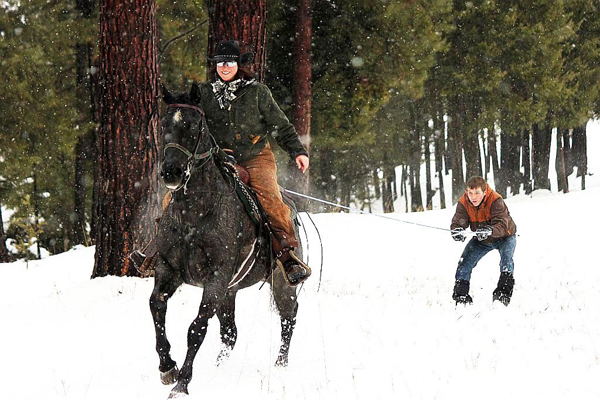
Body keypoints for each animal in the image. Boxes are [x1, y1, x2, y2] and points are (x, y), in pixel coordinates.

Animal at [150, 87, 300, 396]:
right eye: (164, 125)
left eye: (195, 126)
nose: (171, 172)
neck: (194, 216)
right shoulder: (168, 269)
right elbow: (157, 306)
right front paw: (167, 368)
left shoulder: (216, 280)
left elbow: (196, 328)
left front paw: (182, 383)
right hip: (230, 293)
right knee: (230, 333)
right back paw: (219, 369)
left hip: (281, 283)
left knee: (288, 318)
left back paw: (280, 366)